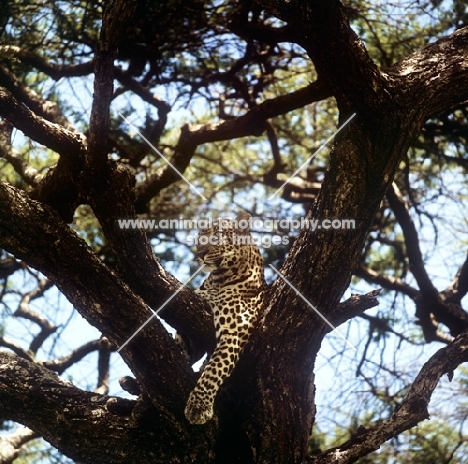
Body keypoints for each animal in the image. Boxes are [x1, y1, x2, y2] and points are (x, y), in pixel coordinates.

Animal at [186, 212, 266, 422]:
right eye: (201, 236)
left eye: (217, 235)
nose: (199, 253)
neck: (218, 280)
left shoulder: (233, 332)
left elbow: (214, 368)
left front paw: (198, 406)